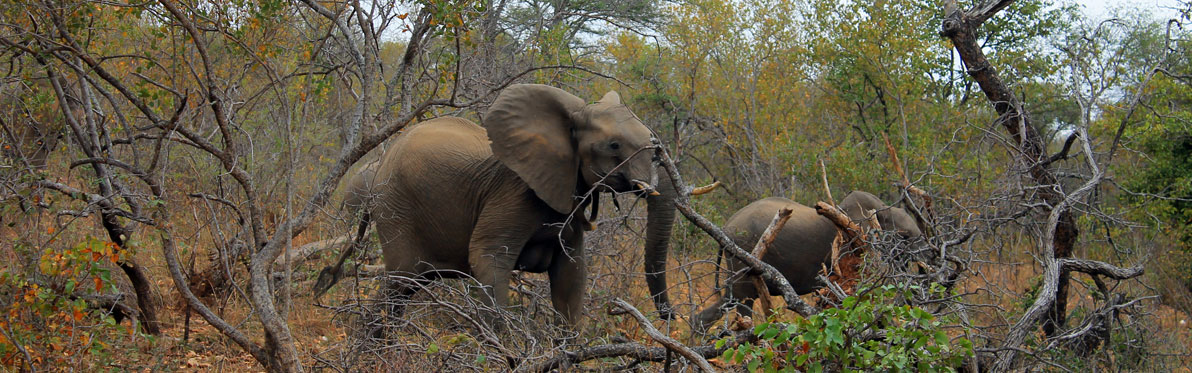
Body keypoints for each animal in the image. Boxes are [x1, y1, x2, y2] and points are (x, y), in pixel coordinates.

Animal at [312, 83, 686, 321]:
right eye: (614, 146)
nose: (671, 316)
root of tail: (380, 165)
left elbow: (572, 275)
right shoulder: (513, 194)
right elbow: (488, 261)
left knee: (409, 285)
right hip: (395, 206)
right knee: (400, 281)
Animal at [691, 190, 920, 328]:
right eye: (906, 237)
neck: (881, 209)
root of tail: (725, 228)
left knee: (729, 300)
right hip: (743, 256)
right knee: (743, 303)